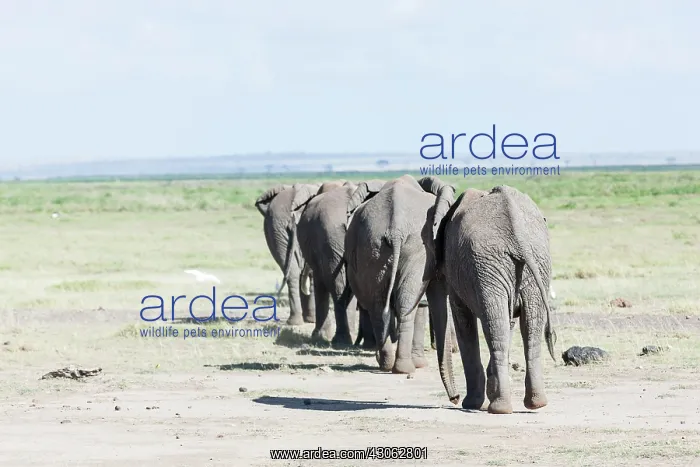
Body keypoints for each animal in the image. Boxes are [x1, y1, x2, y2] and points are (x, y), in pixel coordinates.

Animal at [344, 175, 460, 404]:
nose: (456, 398)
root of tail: (395, 230)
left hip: (371, 247)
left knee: (378, 305)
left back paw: (386, 362)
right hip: (416, 248)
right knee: (405, 305)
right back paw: (404, 367)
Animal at [438, 185, 557, 414]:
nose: (454, 399)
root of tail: (518, 235)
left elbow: (463, 320)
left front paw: (472, 404)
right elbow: (508, 321)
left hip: (493, 266)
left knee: (499, 325)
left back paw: (498, 407)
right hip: (525, 263)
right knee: (523, 325)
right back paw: (533, 403)